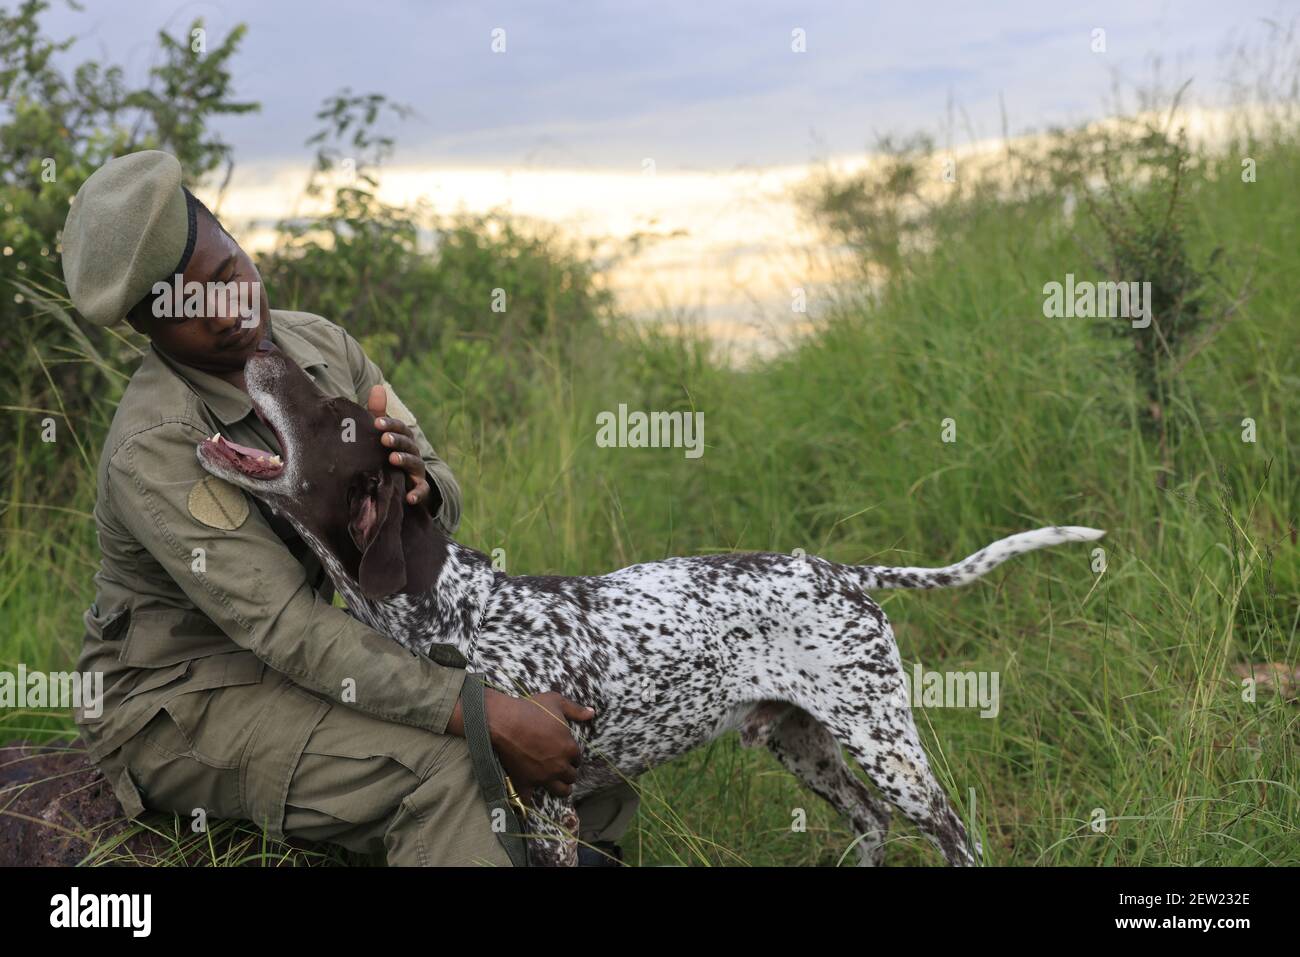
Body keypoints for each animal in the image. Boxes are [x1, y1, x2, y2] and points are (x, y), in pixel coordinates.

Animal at [197, 343, 1102, 868]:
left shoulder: (550, 811)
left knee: (952, 830)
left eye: (332, 414)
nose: (261, 349)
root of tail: (837, 570)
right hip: (802, 742)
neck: (456, 615)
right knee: (870, 821)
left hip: (883, 740)